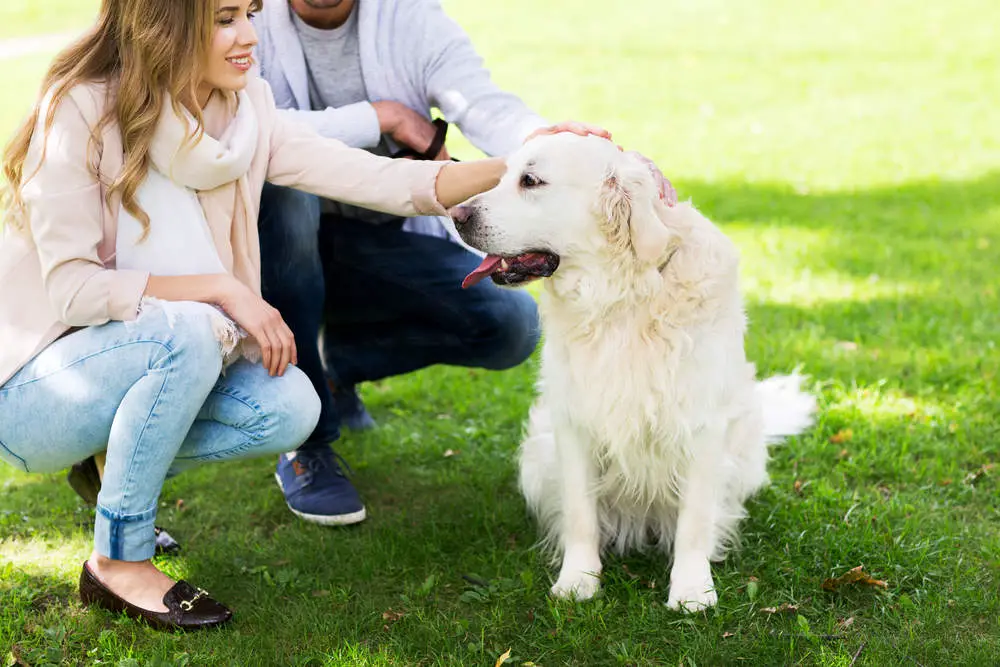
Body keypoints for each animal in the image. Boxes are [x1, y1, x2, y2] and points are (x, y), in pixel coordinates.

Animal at [450, 134, 816, 612]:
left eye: (530, 180)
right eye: (503, 175)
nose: (455, 215)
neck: (622, 296)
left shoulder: (702, 425)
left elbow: (695, 520)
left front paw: (692, 589)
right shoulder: (573, 421)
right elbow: (580, 513)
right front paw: (578, 580)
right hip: (537, 455)